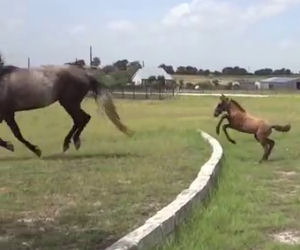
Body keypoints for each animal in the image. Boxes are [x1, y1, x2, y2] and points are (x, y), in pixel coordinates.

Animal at [0, 64, 132, 156]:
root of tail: (86, 75)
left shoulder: (7, 113)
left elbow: (17, 134)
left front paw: (36, 150)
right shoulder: (7, 114)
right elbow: (15, 133)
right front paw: (11, 146)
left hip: (69, 103)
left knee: (82, 118)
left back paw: (70, 143)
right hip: (70, 104)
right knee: (82, 119)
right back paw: (72, 142)